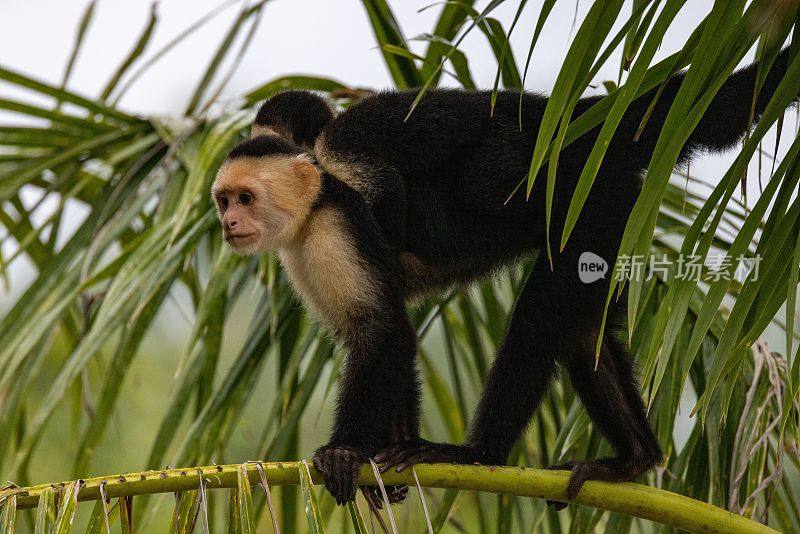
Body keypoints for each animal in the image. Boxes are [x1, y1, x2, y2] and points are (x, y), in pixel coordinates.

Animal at [209, 51, 796, 510]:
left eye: (245, 199)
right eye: (223, 201)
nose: (227, 224)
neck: (314, 198)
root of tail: (589, 128)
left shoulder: (334, 223)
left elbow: (380, 329)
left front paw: (346, 452)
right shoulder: (303, 252)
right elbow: (387, 332)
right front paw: (387, 462)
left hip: (577, 189)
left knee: (535, 310)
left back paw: (479, 454)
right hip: (610, 208)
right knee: (580, 329)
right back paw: (633, 459)